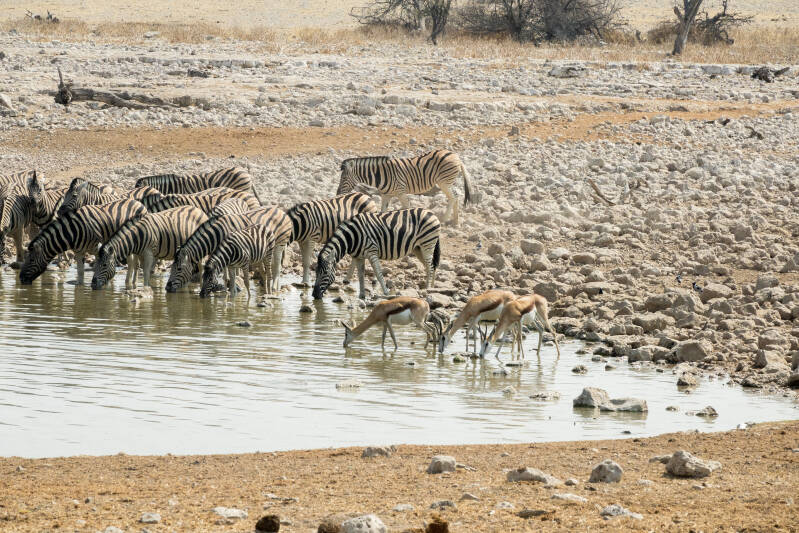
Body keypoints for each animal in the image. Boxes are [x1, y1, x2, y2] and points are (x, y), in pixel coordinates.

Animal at [19, 199, 148, 285]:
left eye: (31, 260)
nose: (20, 278)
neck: (73, 232)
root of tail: (138, 202)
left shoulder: (97, 249)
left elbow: (100, 267)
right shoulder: (78, 252)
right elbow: (80, 272)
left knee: (133, 261)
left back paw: (131, 282)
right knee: (132, 261)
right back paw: (129, 282)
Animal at [312, 208, 442, 300]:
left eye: (326, 272)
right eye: (316, 272)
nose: (314, 295)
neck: (352, 237)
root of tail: (431, 212)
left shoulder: (372, 251)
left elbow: (378, 273)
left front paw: (386, 292)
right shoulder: (358, 256)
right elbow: (361, 275)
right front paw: (361, 295)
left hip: (427, 244)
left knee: (430, 267)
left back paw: (427, 289)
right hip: (418, 248)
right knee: (431, 266)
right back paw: (432, 288)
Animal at [336, 149, 472, 226]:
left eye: (343, 179)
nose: (337, 193)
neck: (380, 175)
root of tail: (455, 155)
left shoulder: (400, 192)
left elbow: (407, 207)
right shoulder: (385, 195)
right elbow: (383, 211)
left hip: (444, 181)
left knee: (453, 197)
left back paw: (444, 219)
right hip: (447, 182)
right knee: (455, 196)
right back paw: (455, 221)